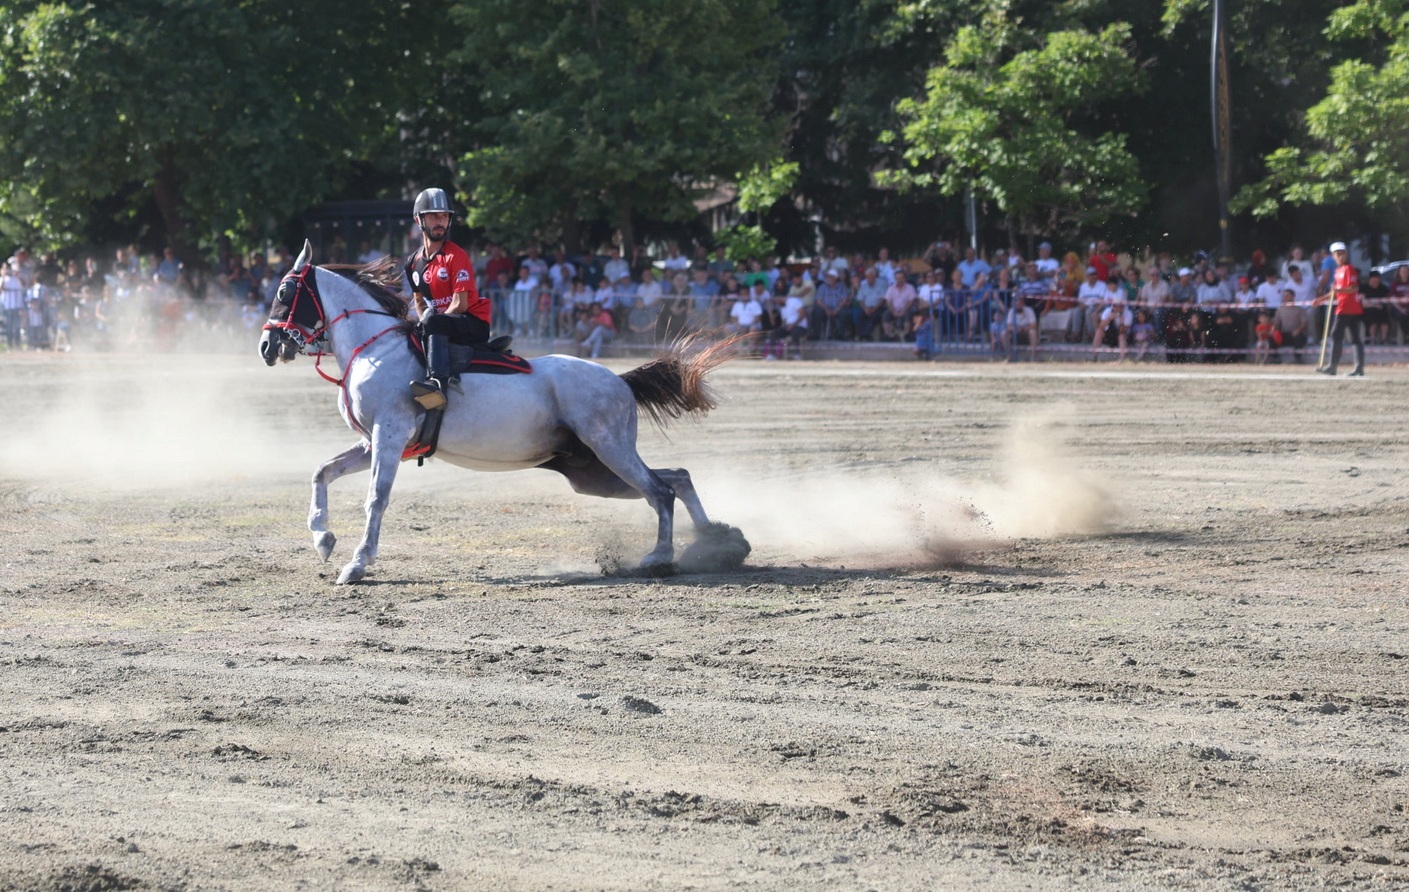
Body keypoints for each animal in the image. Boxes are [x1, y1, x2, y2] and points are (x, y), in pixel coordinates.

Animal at [257, 242, 743, 583]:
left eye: (284, 290)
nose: (266, 345)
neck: (376, 347)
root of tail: (620, 380)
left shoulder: (389, 436)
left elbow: (376, 498)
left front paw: (358, 563)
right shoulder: (370, 442)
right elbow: (322, 472)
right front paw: (322, 538)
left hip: (610, 450)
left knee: (660, 491)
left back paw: (661, 557)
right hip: (593, 472)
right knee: (677, 477)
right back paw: (718, 542)